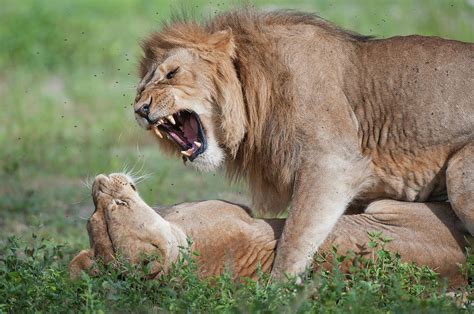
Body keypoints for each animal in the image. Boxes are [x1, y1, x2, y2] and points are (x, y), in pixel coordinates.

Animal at [132, 9, 474, 278]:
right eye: (140, 90)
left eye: (172, 73)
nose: (140, 110)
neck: (253, 86)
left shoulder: (333, 163)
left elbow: (294, 238)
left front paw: (274, 294)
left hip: (459, 173)